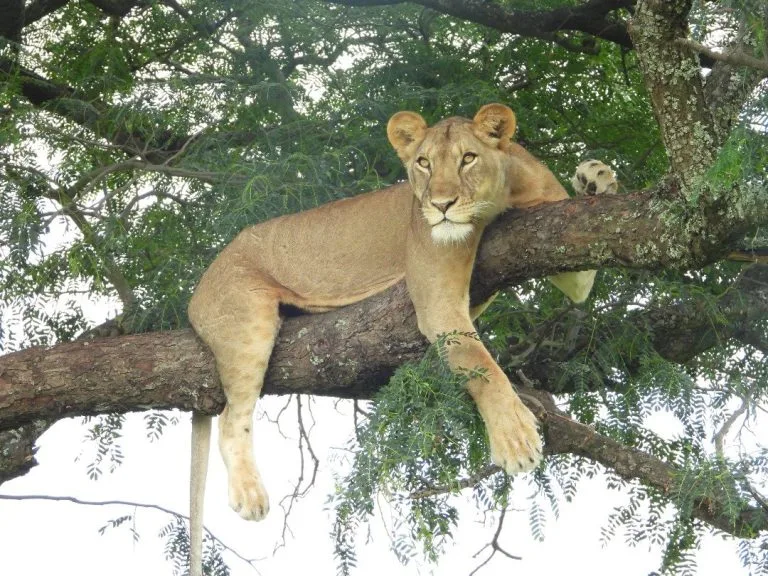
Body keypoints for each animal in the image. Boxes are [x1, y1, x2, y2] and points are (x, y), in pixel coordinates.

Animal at [186, 103, 616, 575]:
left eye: (468, 158)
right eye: (423, 163)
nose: (441, 205)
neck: (503, 198)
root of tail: (197, 292)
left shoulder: (566, 244)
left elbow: (582, 278)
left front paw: (597, 177)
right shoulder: (437, 300)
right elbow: (480, 363)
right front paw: (515, 437)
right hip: (247, 319)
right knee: (232, 418)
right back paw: (250, 494)